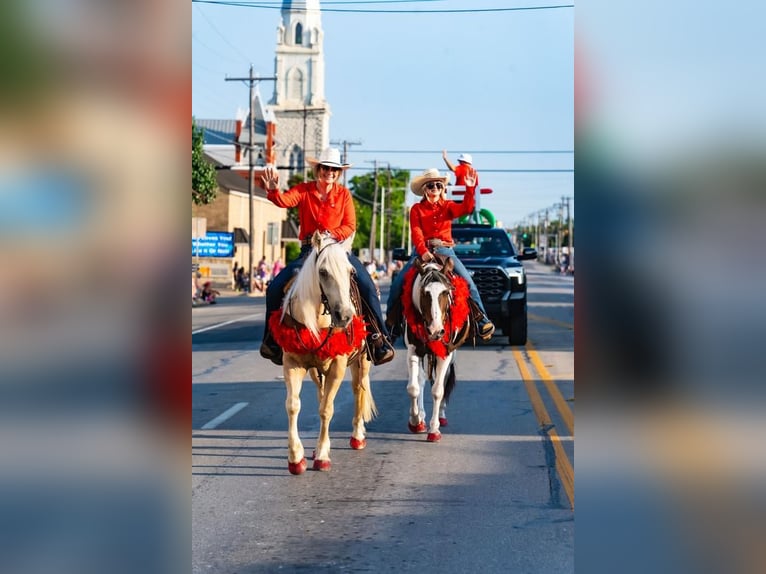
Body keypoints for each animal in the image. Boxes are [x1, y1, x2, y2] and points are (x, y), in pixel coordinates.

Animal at [268, 232, 380, 474]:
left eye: (350, 272)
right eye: (323, 272)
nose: (345, 316)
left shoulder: (338, 367)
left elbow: (326, 410)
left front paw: (321, 456)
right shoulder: (293, 364)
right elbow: (293, 406)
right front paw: (296, 458)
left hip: (362, 362)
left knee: (358, 390)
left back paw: (357, 436)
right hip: (316, 370)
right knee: (321, 393)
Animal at [402, 258, 474, 444]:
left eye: (445, 292)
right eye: (424, 292)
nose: (435, 330)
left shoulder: (446, 354)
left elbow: (438, 391)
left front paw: (434, 429)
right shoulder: (413, 350)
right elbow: (413, 387)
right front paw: (416, 421)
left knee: (445, 381)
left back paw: (441, 416)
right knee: (420, 380)